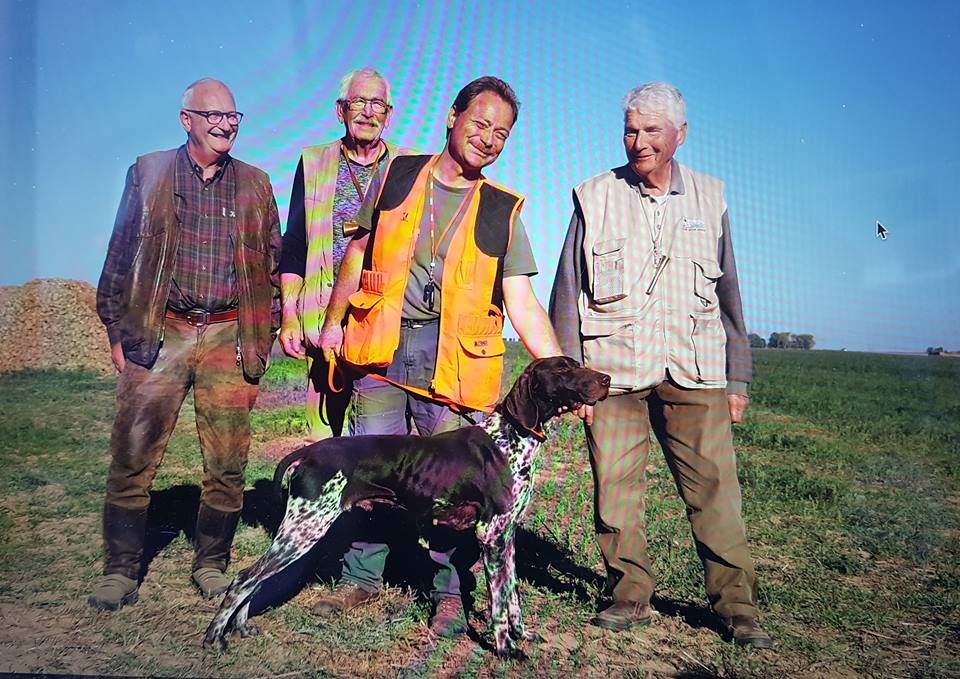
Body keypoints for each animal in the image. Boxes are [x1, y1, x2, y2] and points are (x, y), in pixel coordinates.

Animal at [204, 356, 608, 660]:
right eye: (563, 368)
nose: (606, 379)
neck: (509, 437)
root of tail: (309, 453)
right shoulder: (490, 536)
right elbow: (497, 606)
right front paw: (506, 650)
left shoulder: (505, 539)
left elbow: (512, 598)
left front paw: (522, 635)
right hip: (305, 529)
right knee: (244, 578)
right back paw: (214, 637)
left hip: (300, 531)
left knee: (255, 579)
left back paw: (240, 628)